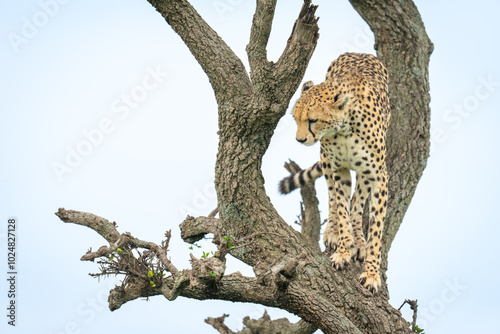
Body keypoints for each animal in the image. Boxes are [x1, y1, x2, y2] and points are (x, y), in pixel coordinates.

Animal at [278, 52, 390, 292]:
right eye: (296, 119)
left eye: (313, 120)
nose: (300, 139)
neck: (345, 128)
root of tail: (358, 53)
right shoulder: (339, 169)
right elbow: (340, 206)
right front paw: (342, 251)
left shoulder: (378, 177)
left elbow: (375, 228)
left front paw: (372, 273)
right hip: (327, 160)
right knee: (333, 197)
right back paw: (333, 231)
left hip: (364, 174)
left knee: (358, 202)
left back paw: (359, 240)